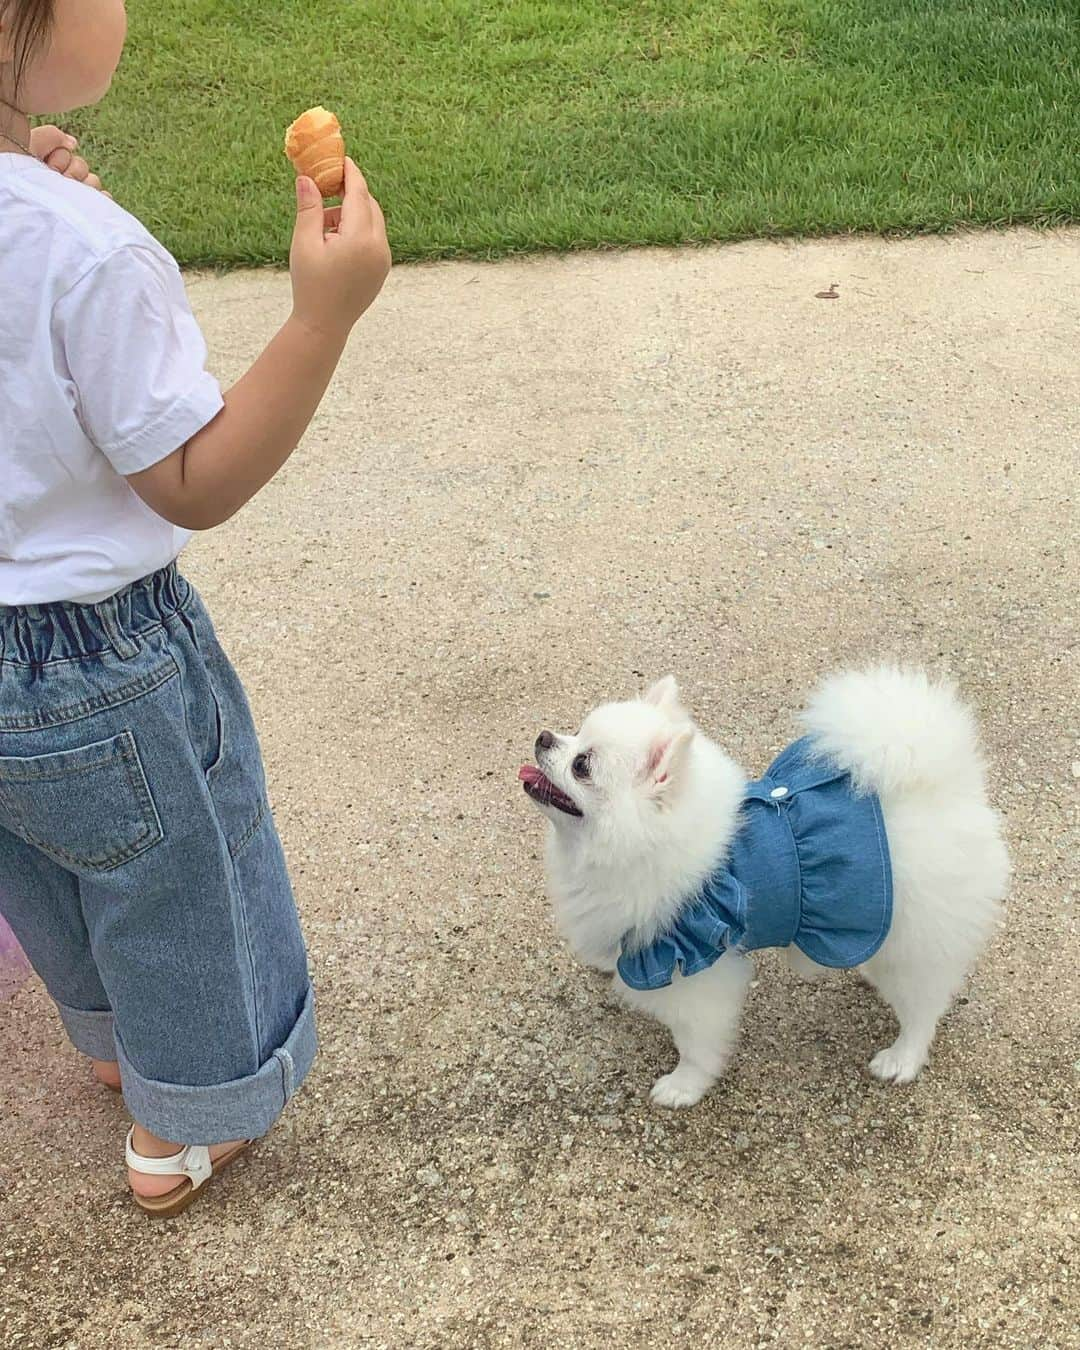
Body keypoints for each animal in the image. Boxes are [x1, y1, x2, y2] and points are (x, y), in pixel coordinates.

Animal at [518, 666, 1009, 1107]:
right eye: (575, 731)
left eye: (582, 765)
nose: (543, 737)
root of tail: (950, 791)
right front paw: (608, 963)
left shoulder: (699, 973)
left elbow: (696, 1045)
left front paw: (684, 1086)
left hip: (915, 942)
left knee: (923, 1008)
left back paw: (902, 1058)